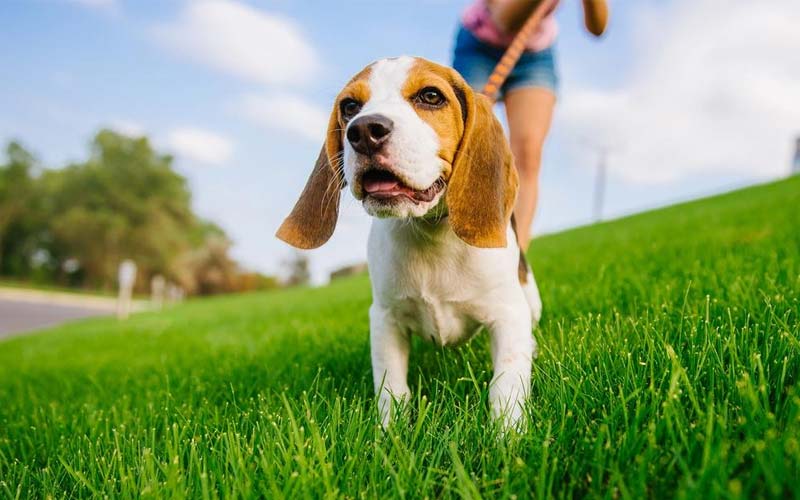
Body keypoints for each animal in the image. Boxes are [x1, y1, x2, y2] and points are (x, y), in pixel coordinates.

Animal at [276, 55, 544, 430]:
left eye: (431, 96)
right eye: (350, 106)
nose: (363, 130)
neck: (429, 231)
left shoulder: (508, 313)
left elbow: (506, 382)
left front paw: (507, 435)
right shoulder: (384, 318)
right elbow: (391, 385)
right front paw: (390, 432)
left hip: (530, 298)